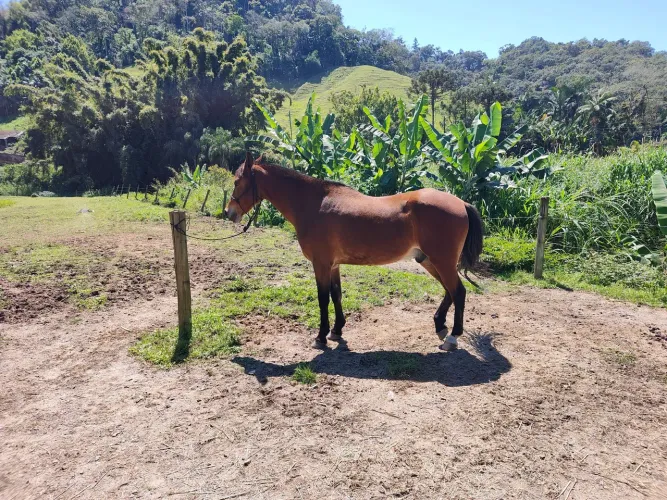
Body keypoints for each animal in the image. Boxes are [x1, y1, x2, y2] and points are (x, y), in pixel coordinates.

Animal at [225, 153, 483, 351]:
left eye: (237, 181)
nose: (228, 212)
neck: (313, 204)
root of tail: (461, 203)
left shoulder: (320, 264)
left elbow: (322, 298)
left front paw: (320, 337)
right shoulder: (333, 265)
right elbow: (336, 295)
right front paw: (336, 330)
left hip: (442, 261)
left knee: (458, 292)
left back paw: (452, 337)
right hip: (430, 261)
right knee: (449, 291)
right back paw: (440, 325)